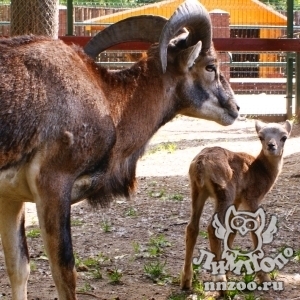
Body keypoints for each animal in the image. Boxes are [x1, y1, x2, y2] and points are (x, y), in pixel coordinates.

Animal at [0, 1, 239, 298]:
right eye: (210, 66)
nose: (235, 108)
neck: (107, 101)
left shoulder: (10, 197)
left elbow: (19, 269)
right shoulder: (53, 186)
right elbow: (65, 274)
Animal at [180, 119, 292, 288]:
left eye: (284, 137)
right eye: (260, 136)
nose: (271, 145)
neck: (262, 171)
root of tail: (200, 164)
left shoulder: (238, 200)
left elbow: (233, 230)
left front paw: (228, 269)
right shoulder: (252, 197)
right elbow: (256, 230)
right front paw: (264, 278)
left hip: (197, 189)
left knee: (192, 227)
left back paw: (186, 281)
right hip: (225, 191)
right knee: (212, 227)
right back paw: (220, 281)